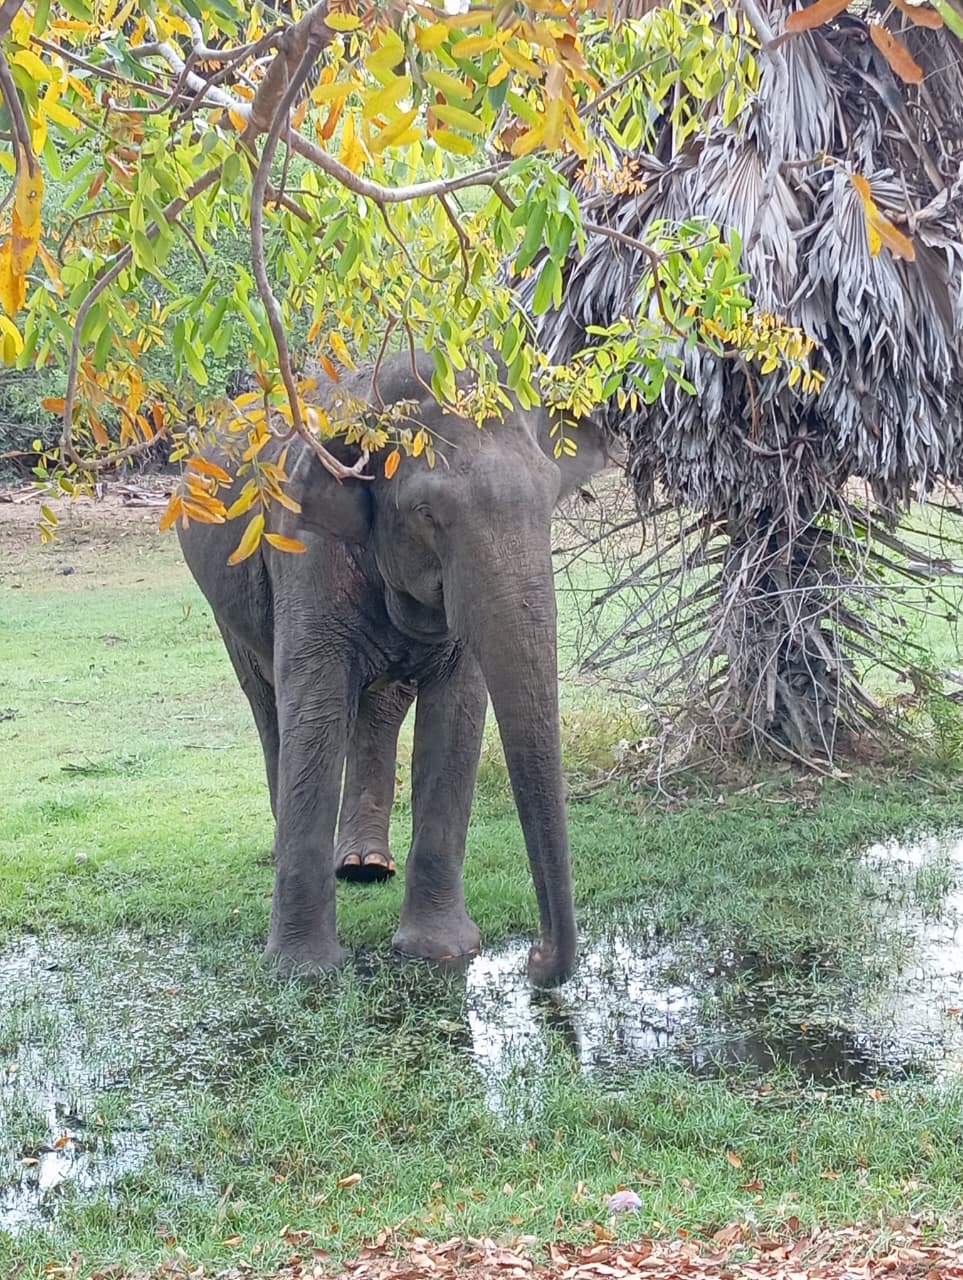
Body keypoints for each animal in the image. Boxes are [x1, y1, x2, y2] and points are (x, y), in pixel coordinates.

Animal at [177, 351, 607, 985]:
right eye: (427, 513)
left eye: (551, 498)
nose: (534, 958)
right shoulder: (303, 552)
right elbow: (315, 705)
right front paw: (302, 972)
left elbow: (458, 714)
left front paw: (441, 952)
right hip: (224, 601)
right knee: (269, 702)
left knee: (377, 707)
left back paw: (364, 865)